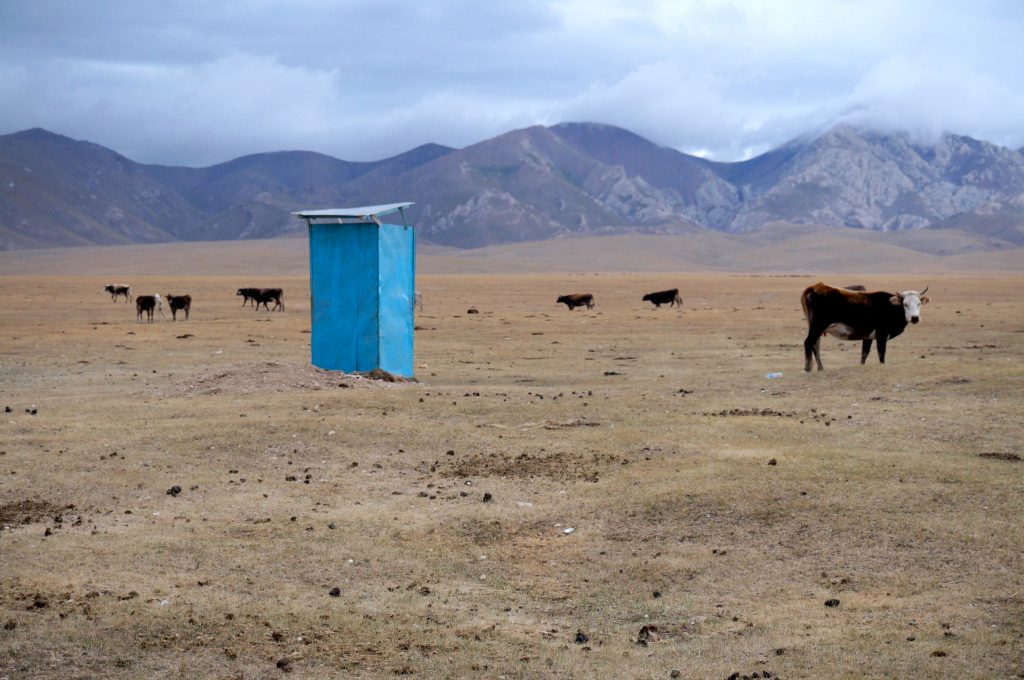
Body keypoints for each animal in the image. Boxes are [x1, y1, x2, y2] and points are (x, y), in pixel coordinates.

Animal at [802, 280, 933, 372]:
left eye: (919, 303)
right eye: (905, 304)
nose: (915, 318)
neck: (891, 307)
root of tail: (815, 287)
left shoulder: (868, 337)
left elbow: (864, 354)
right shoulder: (881, 335)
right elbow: (881, 353)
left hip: (816, 328)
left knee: (816, 345)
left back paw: (820, 368)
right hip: (817, 326)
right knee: (808, 342)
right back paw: (808, 368)